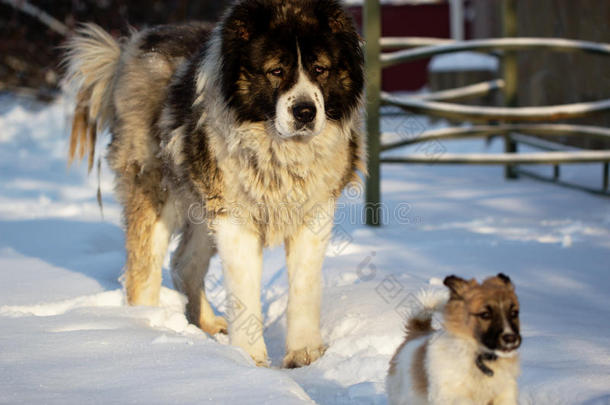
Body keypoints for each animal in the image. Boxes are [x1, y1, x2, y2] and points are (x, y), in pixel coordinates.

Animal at [64, 0, 364, 366]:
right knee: (143, 272)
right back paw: (146, 332)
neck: (278, 151)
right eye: (276, 71)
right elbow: (244, 290)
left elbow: (304, 286)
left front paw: (304, 353)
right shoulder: (235, 218)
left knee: (184, 265)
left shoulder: (313, 213)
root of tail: (130, 48)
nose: (305, 112)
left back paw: (205, 324)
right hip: (158, 192)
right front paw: (250, 360)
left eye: (320, 69)